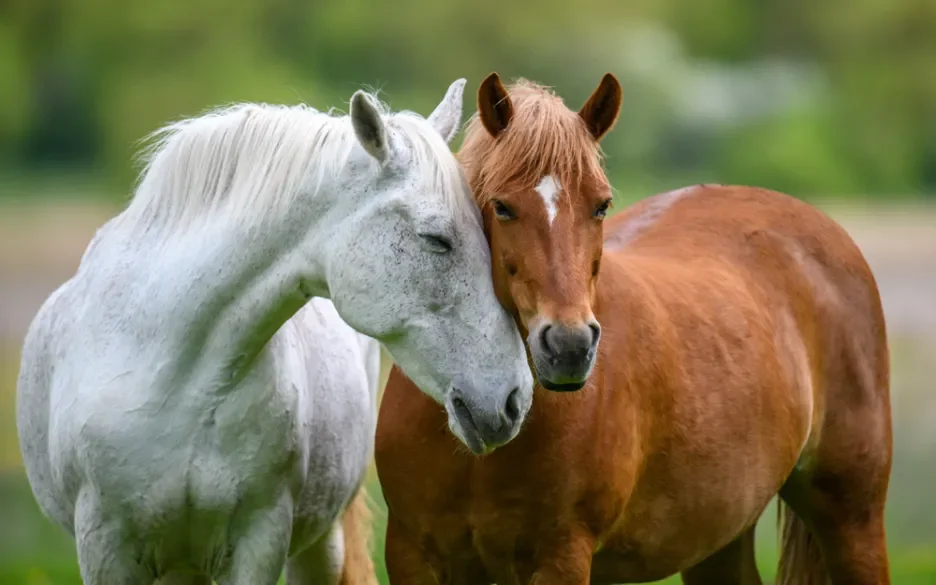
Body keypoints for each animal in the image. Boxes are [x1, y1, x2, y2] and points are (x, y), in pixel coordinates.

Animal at [16, 81, 532, 584]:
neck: (169, 370)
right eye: (436, 239)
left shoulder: (258, 540)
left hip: (318, 547)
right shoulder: (105, 549)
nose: (515, 399)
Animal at [372, 75, 892, 584]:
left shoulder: (560, 557)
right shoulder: (412, 554)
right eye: (501, 207)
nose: (569, 346)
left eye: (601, 205)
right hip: (718, 535)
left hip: (852, 518)